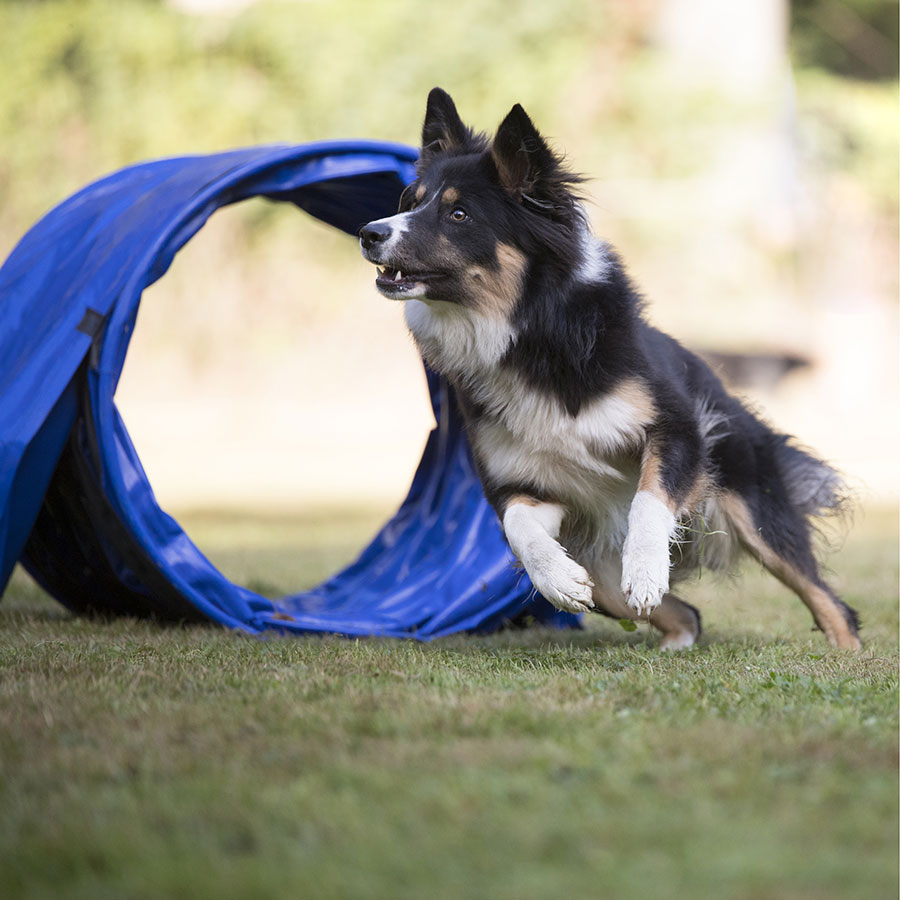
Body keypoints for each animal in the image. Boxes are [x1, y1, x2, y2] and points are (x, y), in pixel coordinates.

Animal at [356, 88, 856, 652]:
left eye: (458, 213)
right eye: (411, 201)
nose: (368, 233)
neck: (529, 335)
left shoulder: (676, 429)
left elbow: (648, 500)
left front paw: (645, 569)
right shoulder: (524, 482)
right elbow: (519, 527)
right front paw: (556, 580)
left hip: (753, 504)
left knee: (828, 600)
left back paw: (848, 653)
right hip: (604, 567)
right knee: (674, 610)